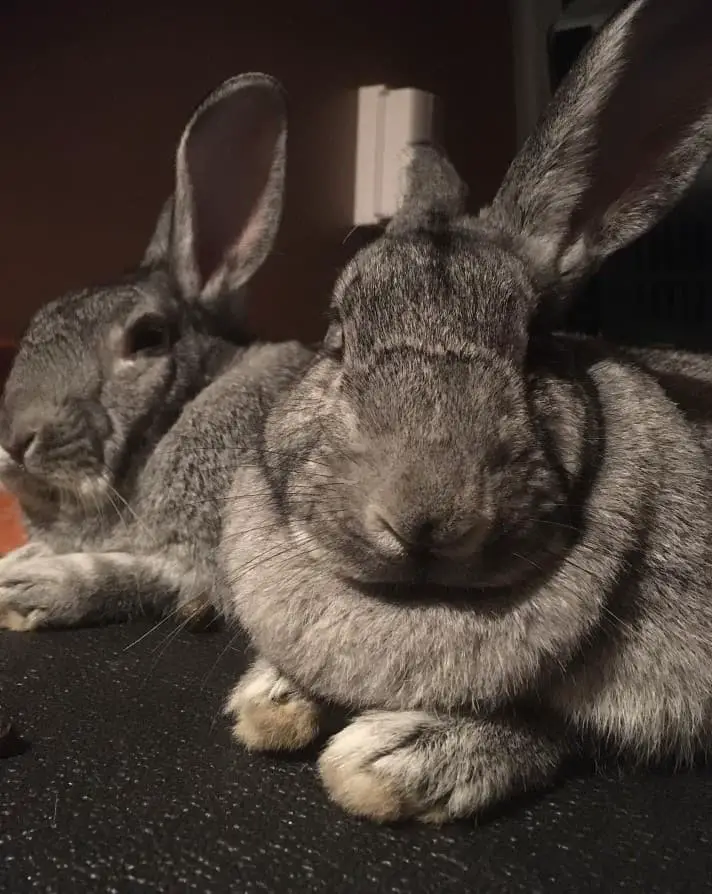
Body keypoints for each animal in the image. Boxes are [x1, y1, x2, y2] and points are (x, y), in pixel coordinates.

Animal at [0, 75, 312, 636]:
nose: (15, 441)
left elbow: (130, 577)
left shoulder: (203, 560)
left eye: (147, 337)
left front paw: (31, 589)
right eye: (36, 322)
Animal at [221, 0, 712, 824]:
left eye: (535, 343)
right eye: (335, 332)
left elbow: (555, 727)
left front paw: (391, 759)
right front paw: (268, 700)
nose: (424, 518)